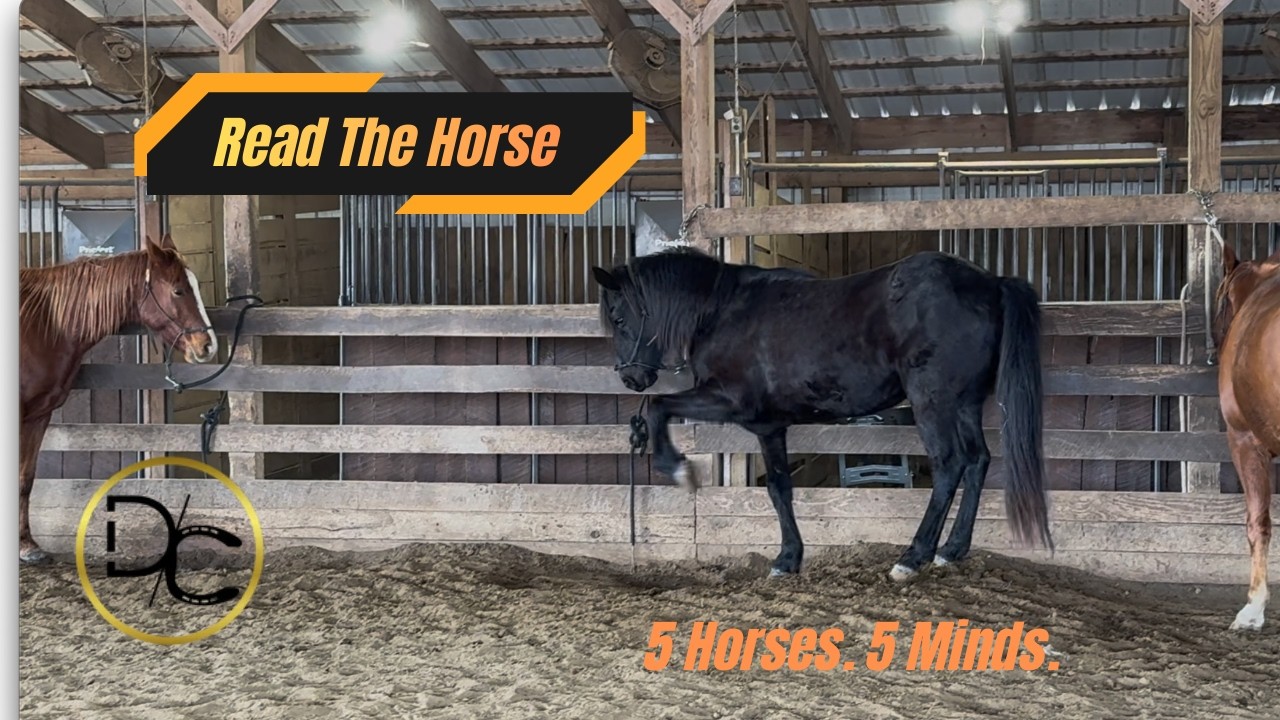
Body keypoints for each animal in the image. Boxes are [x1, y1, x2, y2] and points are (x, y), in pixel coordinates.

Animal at [18, 233, 219, 564]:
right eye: (178, 290)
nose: (207, 346)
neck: (40, 323)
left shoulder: (37, 416)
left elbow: (25, 478)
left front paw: (27, 546)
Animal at [591, 247, 1053, 581]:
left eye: (619, 317)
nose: (630, 378)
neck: (721, 311)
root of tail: (989, 283)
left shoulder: (730, 402)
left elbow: (659, 408)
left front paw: (678, 468)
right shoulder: (769, 425)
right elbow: (779, 488)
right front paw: (788, 558)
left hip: (933, 402)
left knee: (949, 465)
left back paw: (913, 556)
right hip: (964, 404)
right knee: (977, 461)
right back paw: (952, 550)